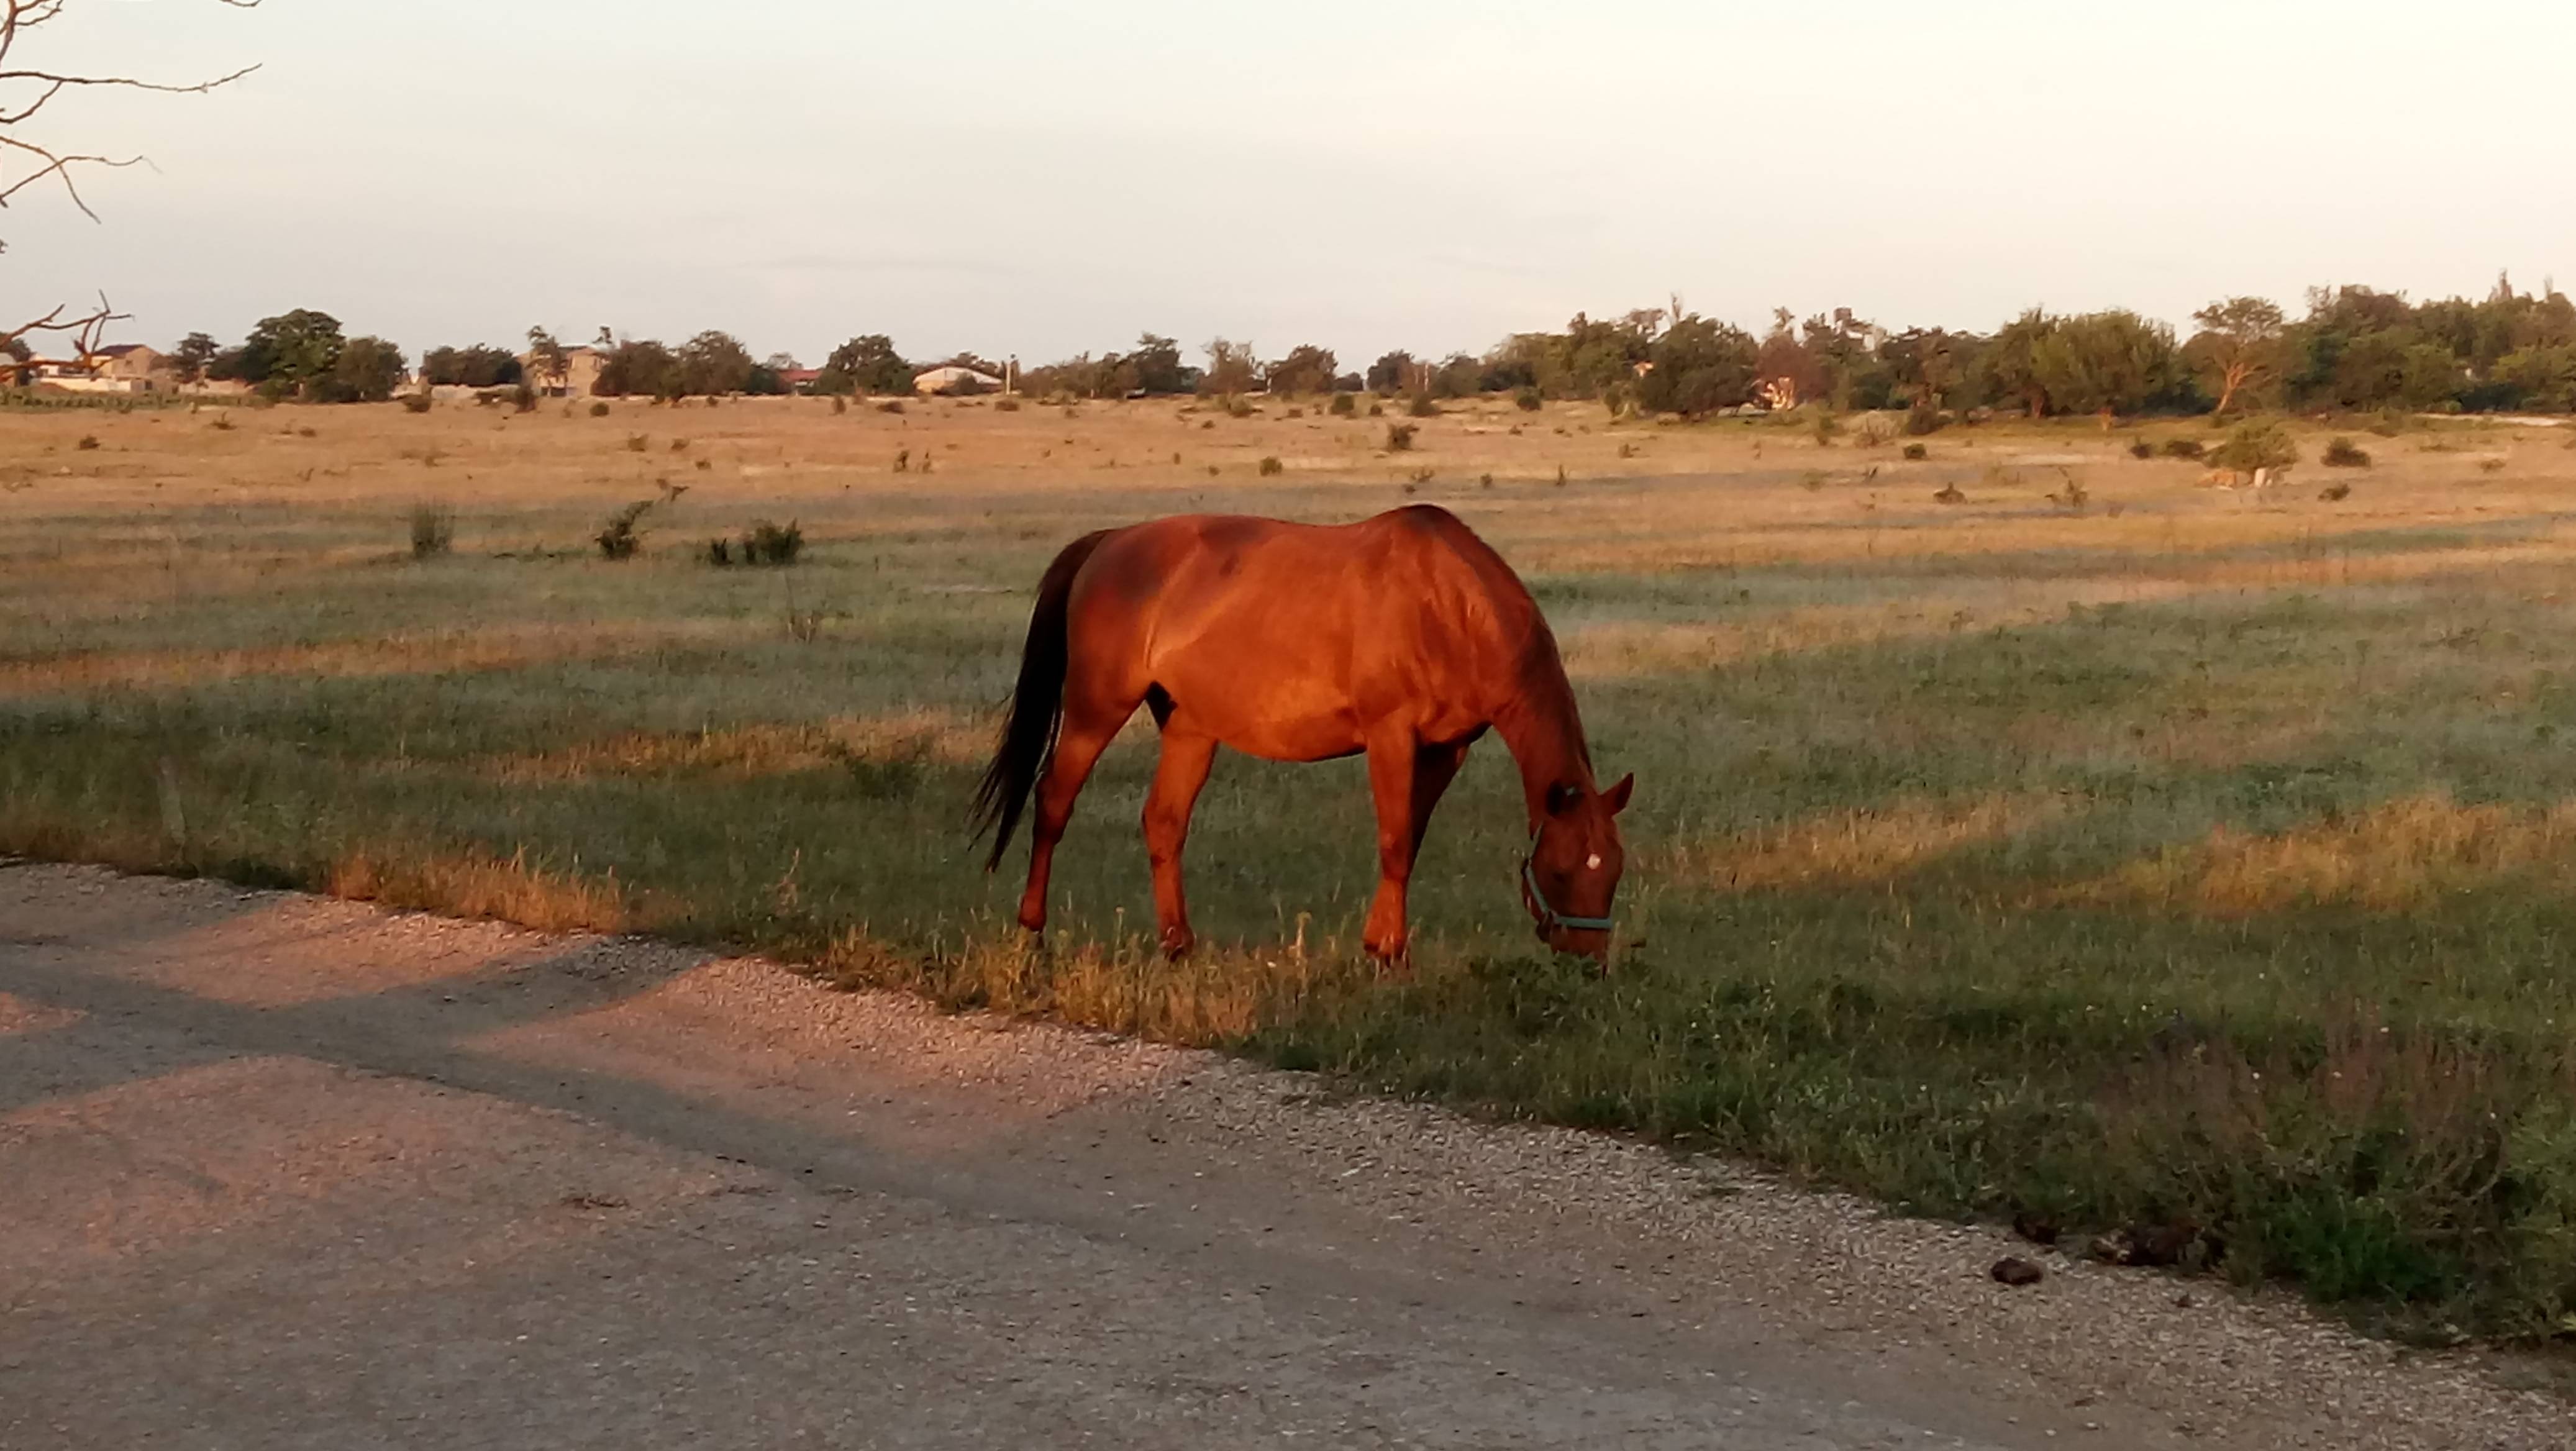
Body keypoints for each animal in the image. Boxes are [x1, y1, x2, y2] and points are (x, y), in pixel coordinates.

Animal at [968, 505, 1627, 969]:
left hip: (1190, 727)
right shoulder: (1391, 736)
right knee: (1054, 802)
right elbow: (1394, 841)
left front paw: (1379, 942)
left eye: (1614, 871)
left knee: (1164, 821)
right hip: (1094, 708)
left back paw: (1178, 943)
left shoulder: (1447, 750)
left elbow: (1410, 841)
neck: (1449, 608)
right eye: (1560, 871)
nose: (1587, 962)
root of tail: (1108, 542)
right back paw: (1032, 931)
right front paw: (1390, 953)